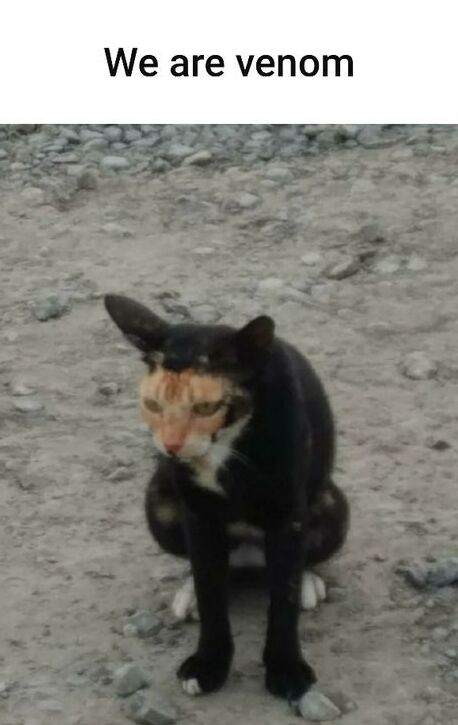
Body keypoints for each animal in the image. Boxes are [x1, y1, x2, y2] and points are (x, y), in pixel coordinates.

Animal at [104, 293, 349, 705]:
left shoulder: (287, 517)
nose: (170, 448)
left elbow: (283, 599)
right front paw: (209, 665)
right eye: (152, 405)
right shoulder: (199, 517)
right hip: (159, 503)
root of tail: (249, 558)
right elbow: (210, 593)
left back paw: (308, 580)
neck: (225, 446)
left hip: (334, 506)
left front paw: (286, 668)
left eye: (206, 407)